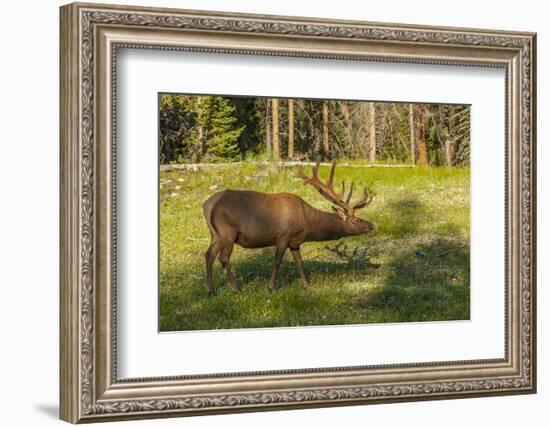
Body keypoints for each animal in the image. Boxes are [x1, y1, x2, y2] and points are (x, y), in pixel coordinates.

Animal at [203, 160, 376, 294]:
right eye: (355, 221)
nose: (371, 225)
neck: (307, 223)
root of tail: (208, 205)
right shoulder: (284, 235)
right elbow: (277, 261)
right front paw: (271, 287)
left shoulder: (295, 241)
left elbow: (299, 261)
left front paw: (306, 284)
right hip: (228, 231)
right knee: (223, 257)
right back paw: (236, 288)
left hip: (215, 234)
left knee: (208, 255)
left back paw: (210, 290)